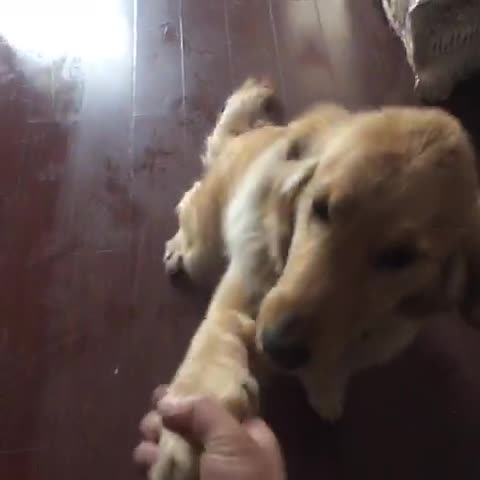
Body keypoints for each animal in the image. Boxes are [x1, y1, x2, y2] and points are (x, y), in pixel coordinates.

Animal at [151, 79, 480, 480]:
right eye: (320, 207)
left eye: (401, 257)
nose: (277, 346)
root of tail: (248, 136)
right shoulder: (242, 293)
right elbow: (215, 345)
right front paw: (183, 437)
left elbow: (331, 369)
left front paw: (324, 392)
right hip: (204, 246)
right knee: (189, 203)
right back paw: (177, 247)